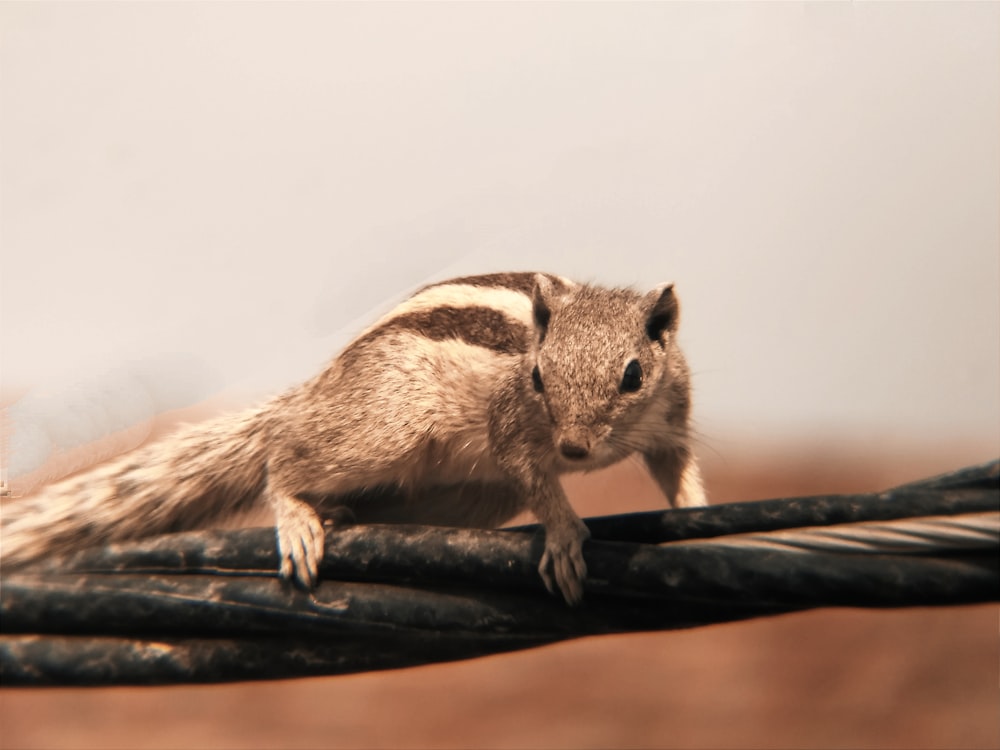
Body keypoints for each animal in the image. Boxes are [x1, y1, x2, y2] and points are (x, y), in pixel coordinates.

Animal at [1, 274, 704, 608]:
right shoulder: (511, 426)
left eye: (632, 375)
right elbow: (532, 473)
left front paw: (696, 517)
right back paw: (300, 514)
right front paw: (561, 534)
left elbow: (678, 469)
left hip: (471, 495)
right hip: (386, 426)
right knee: (284, 455)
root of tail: (319, 387)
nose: (575, 452)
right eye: (537, 374)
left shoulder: (672, 415)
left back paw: (342, 513)